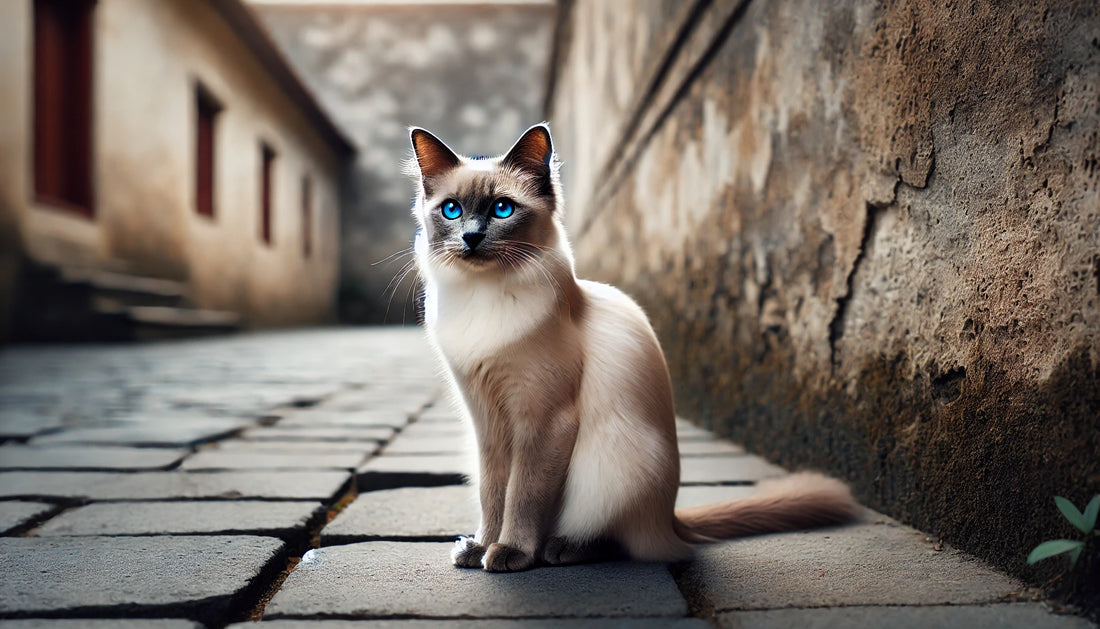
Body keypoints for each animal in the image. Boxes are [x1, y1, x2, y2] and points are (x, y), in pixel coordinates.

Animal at [407, 121, 858, 571]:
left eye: (502, 209)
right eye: (452, 211)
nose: (471, 236)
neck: (481, 298)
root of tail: (672, 517)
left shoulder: (542, 419)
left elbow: (523, 494)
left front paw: (511, 552)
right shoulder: (487, 420)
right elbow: (493, 492)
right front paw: (482, 546)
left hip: (616, 462)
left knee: (626, 541)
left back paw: (561, 548)